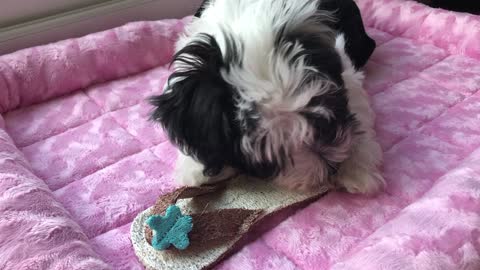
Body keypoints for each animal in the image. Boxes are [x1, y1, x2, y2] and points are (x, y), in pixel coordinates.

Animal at [148, 0, 384, 194]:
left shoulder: (346, 71)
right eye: (269, 158)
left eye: (331, 107)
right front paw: (194, 168)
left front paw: (357, 170)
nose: (331, 165)